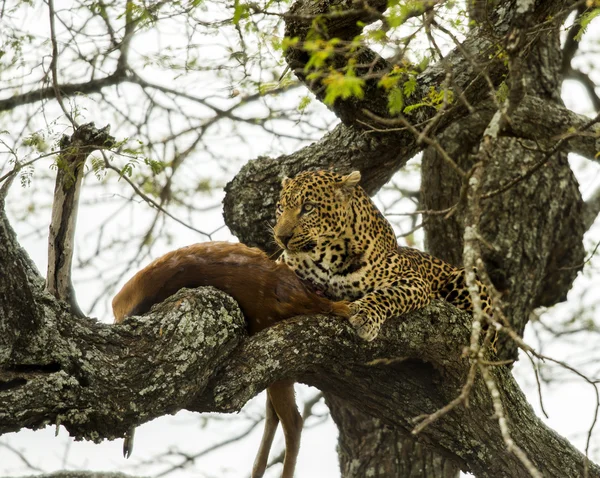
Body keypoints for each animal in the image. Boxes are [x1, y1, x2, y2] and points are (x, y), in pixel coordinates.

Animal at [274, 168, 494, 340]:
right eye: (280, 208)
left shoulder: (413, 280)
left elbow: (388, 294)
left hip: (468, 277)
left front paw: (365, 314)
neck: (328, 255)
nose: (281, 237)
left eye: (308, 207)